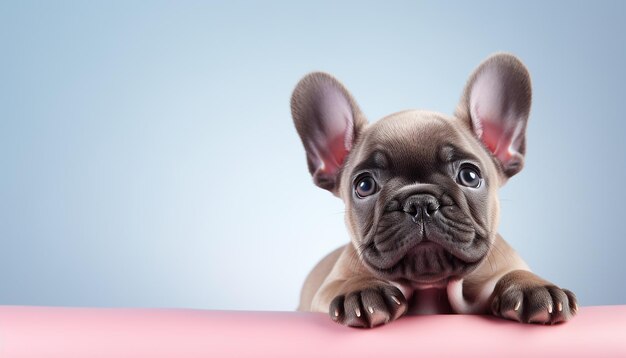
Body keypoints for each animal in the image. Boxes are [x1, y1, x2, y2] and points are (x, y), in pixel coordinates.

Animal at [292, 52, 576, 328]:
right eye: (364, 185)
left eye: (470, 176)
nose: (419, 202)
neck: (431, 288)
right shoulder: (326, 289)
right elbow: (343, 283)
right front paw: (362, 290)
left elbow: (514, 272)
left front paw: (532, 287)